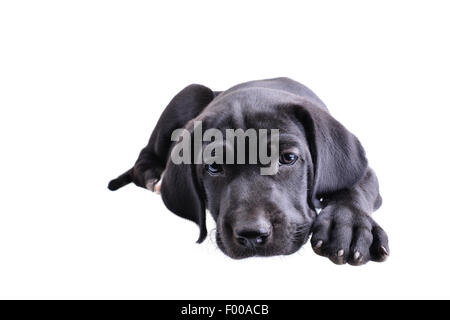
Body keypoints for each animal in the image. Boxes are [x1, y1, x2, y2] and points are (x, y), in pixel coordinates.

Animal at [108, 77, 386, 264]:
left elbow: (354, 188)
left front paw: (347, 227)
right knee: (143, 158)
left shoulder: (360, 171)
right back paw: (155, 177)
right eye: (213, 166)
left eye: (288, 158)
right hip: (190, 92)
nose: (252, 234)